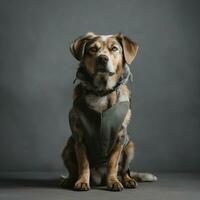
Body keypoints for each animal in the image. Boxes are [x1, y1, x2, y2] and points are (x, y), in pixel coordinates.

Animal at [61, 32, 157, 191]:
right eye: (93, 49)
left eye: (114, 49)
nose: (102, 58)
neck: (101, 92)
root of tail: (99, 178)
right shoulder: (79, 138)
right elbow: (83, 164)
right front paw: (82, 181)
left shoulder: (119, 138)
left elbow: (113, 163)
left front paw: (113, 181)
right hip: (68, 147)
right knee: (73, 169)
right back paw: (70, 180)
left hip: (130, 145)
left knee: (125, 170)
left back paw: (127, 180)